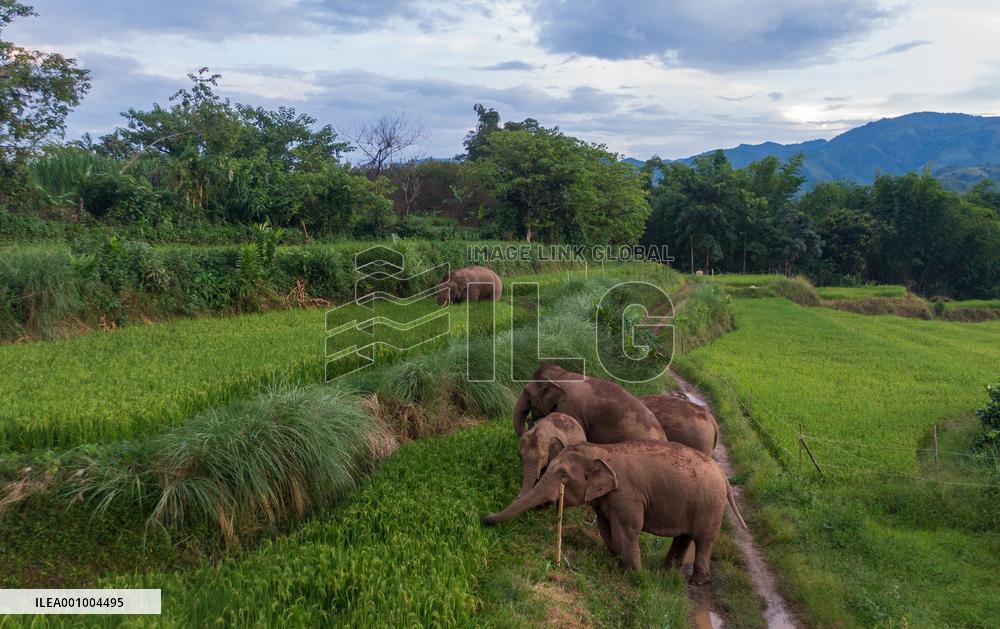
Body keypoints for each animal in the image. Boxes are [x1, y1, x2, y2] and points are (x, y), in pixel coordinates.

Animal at [482, 440, 747, 584]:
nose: (483, 517)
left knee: (702, 540)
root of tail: (724, 478)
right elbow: (606, 528)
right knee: (682, 537)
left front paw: (637, 576)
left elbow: (626, 532)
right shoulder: (606, 499)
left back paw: (698, 582)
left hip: (711, 507)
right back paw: (665, 571)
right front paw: (618, 562)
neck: (603, 451)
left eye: (563, 475)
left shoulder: (626, 495)